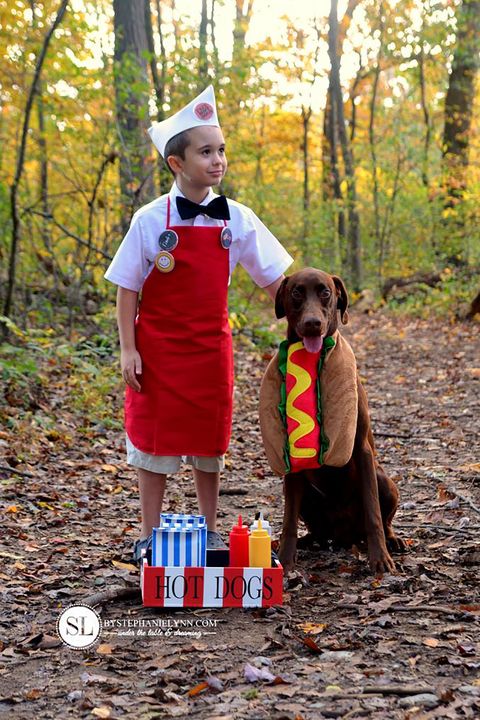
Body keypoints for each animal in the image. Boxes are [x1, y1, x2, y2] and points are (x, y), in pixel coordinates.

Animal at [262, 268, 404, 572]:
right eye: (296, 292)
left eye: (325, 292)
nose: (312, 324)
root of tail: (343, 536)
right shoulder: (291, 457)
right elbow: (288, 520)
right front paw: (287, 560)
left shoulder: (361, 449)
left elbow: (373, 512)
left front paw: (379, 559)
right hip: (308, 496)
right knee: (315, 528)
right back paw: (306, 541)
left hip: (384, 480)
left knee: (383, 518)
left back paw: (392, 540)